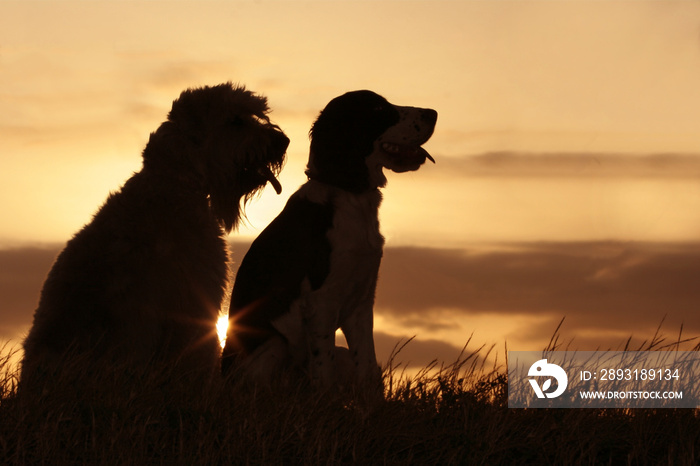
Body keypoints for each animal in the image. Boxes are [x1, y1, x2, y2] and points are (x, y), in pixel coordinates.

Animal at [221, 89, 438, 388]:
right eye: (378, 108)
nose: (433, 114)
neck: (350, 196)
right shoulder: (321, 301)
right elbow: (324, 371)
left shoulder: (361, 303)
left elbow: (367, 366)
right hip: (275, 344)